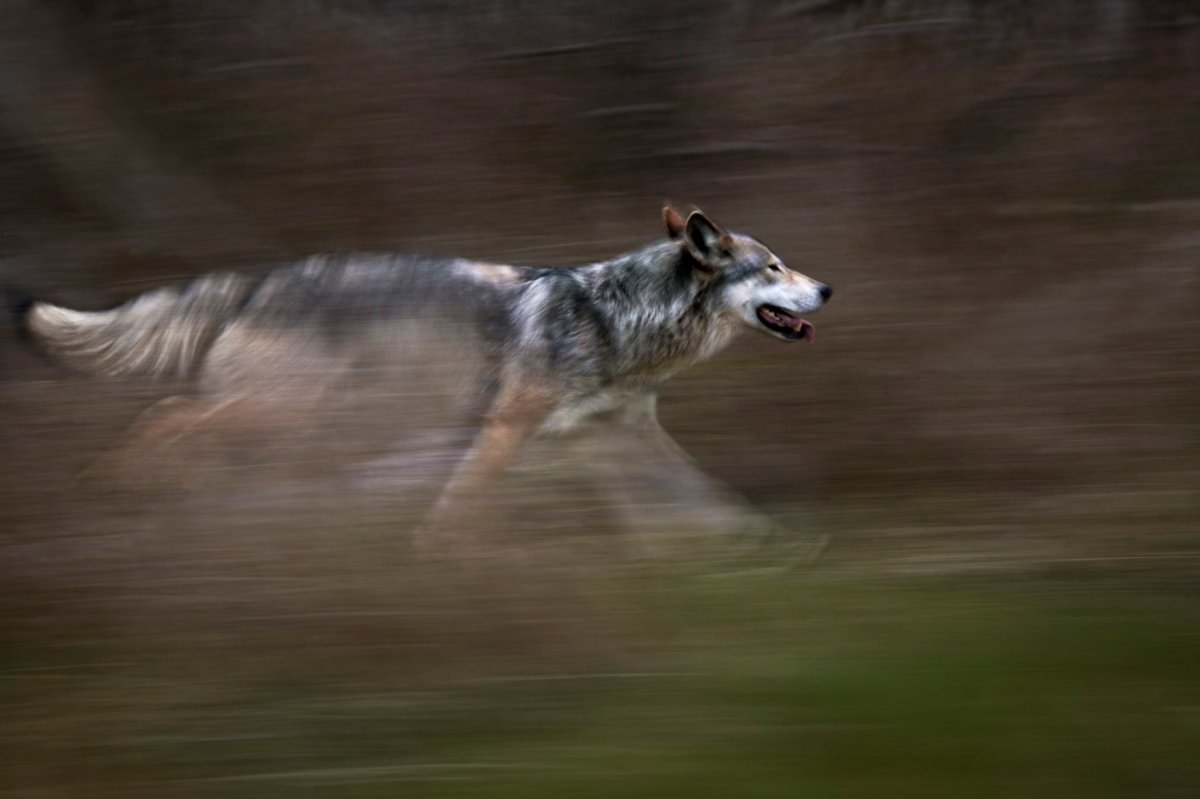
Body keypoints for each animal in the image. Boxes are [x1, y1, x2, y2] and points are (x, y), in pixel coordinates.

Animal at [16, 202, 835, 544]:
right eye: (773, 267)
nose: (827, 288)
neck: (622, 318)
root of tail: (257, 280)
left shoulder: (612, 440)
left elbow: (706, 503)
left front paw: (769, 554)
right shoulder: (504, 430)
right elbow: (457, 509)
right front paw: (433, 568)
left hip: (310, 421)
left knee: (195, 436)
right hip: (283, 410)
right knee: (165, 416)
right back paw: (105, 490)